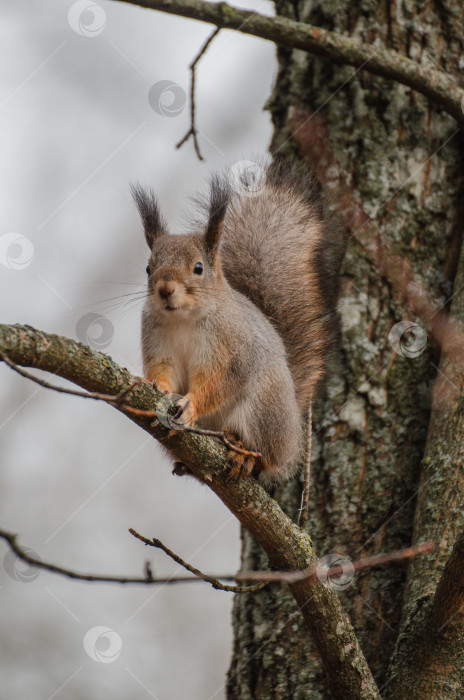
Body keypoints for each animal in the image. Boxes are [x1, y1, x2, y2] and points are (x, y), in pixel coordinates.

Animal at [132, 157, 342, 486]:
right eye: (148, 268)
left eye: (198, 267)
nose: (165, 290)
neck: (183, 319)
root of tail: (293, 433)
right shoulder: (156, 340)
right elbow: (163, 370)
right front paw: (157, 385)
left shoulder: (234, 350)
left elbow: (222, 382)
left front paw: (191, 405)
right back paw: (188, 464)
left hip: (264, 408)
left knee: (266, 458)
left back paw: (245, 455)